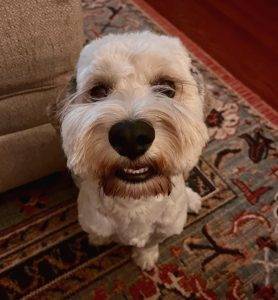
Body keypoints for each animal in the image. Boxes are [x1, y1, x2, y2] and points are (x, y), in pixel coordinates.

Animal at [50, 31, 211, 270]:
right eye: (98, 91)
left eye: (167, 88)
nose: (131, 137)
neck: (135, 198)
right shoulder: (92, 218)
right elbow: (100, 232)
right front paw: (98, 239)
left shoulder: (163, 229)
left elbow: (150, 242)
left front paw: (146, 257)